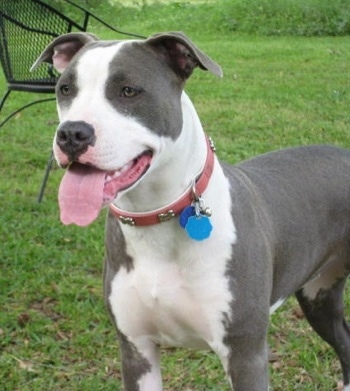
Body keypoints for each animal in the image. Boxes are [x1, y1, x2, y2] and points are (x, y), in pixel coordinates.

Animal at [32, 32, 350, 390]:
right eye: (65, 89)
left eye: (128, 90)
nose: (71, 133)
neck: (157, 217)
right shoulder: (136, 349)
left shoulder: (245, 355)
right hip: (318, 293)